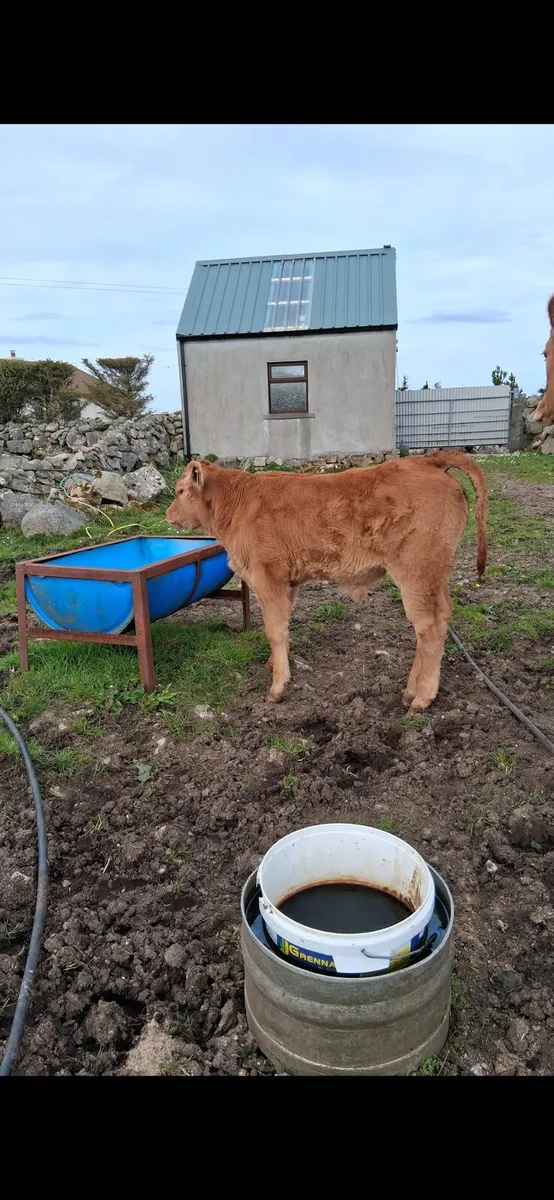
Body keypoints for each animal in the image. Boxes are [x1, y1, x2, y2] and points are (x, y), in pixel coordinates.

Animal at [166, 450, 488, 714]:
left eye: (180, 491)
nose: (168, 514)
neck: (237, 505)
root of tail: (426, 460)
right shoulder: (288, 582)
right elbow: (283, 627)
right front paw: (274, 664)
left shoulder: (268, 579)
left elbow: (274, 631)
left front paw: (278, 686)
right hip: (434, 574)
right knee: (439, 619)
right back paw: (410, 691)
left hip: (416, 573)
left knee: (429, 627)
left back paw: (421, 698)